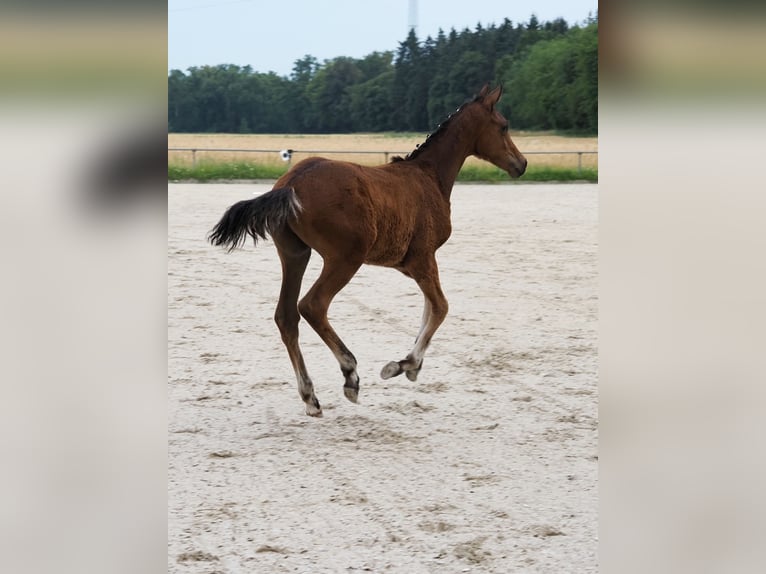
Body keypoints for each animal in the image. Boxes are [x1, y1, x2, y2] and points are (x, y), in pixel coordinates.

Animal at [208, 84, 527, 416]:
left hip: (295, 255)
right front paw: (404, 364)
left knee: (286, 316)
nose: (522, 164)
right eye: (504, 126)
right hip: (345, 258)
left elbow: (428, 308)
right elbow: (440, 307)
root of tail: (291, 182)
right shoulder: (423, 259)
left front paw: (412, 365)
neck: (429, 176)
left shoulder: (414, 265)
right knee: (312, 305)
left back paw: (310, 397)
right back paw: (350, 374)